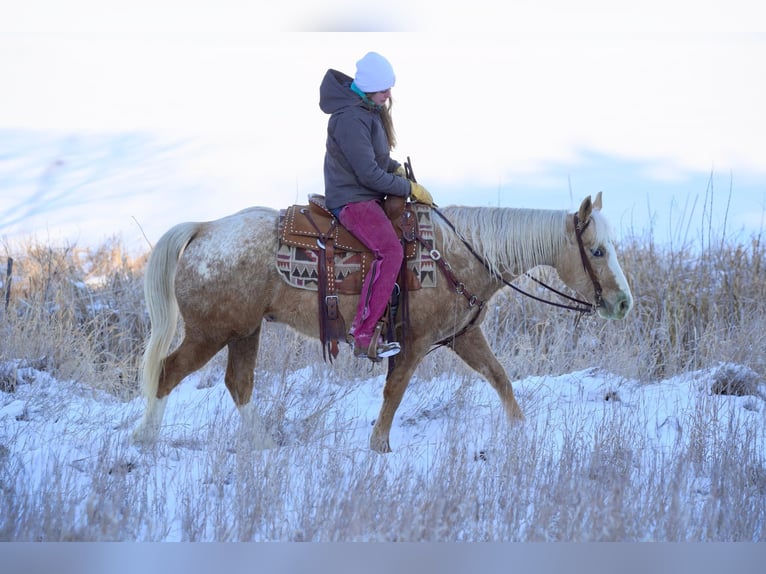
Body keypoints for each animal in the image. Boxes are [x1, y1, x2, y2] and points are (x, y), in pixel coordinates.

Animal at [134, 194, 636, 454]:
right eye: (597, 251)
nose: (623, 302)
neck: (456, 253)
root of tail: (204, 228)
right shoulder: (413, 343)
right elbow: (394, 392)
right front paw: (379, 446)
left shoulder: (464, 336)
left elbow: (500, 378)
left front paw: (520, 429)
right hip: (210, 333)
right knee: (167, 374)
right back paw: (146, 439)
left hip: (244, 331)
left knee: (238, 383)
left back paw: (262, 445)